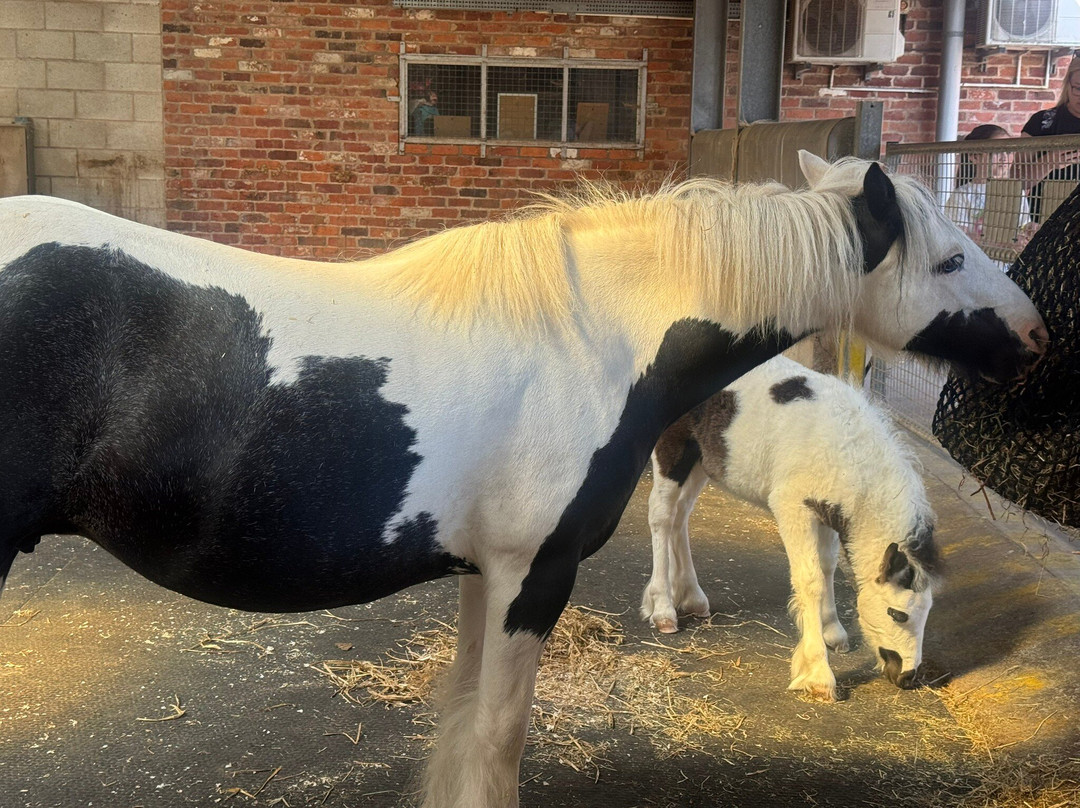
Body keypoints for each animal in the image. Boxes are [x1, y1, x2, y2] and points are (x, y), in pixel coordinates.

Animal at [642, 354, 937, 702]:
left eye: (926, 612)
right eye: (897, 613)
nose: (907, 676)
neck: (847, 450)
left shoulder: (827, 511)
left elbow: (827, 567)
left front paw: (833, 632)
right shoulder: (793, 507)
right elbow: (811, 580)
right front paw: (818, 674)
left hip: (699, 458)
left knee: (681, 514)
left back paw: (693, 598)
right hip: (672, 448)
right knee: (661, 515)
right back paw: (663, 610)